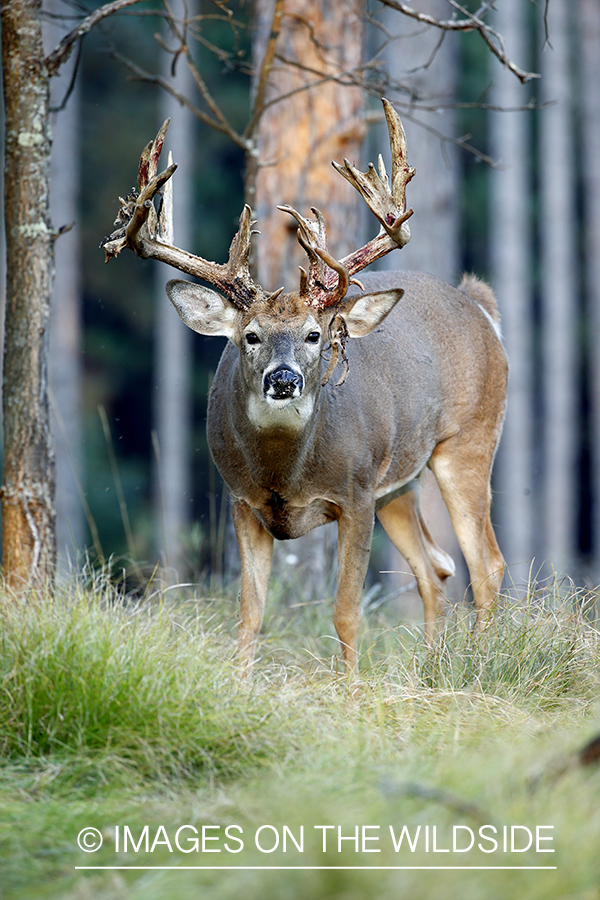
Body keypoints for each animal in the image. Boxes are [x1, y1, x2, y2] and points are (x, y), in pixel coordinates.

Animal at [102, 98, 506, 676]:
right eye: (250, 335)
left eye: (315, 334)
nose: (284, 378)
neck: (284, 473)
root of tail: (478, 304)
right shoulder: (242, 501)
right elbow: (249, 616)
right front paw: (240, 685)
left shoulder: (355, 494)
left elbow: (345, 614)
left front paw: (352, 691)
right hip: (399, 484)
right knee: (437, 568)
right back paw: (433, 670)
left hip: (468, 441)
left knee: (486, 563)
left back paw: (478, 666)